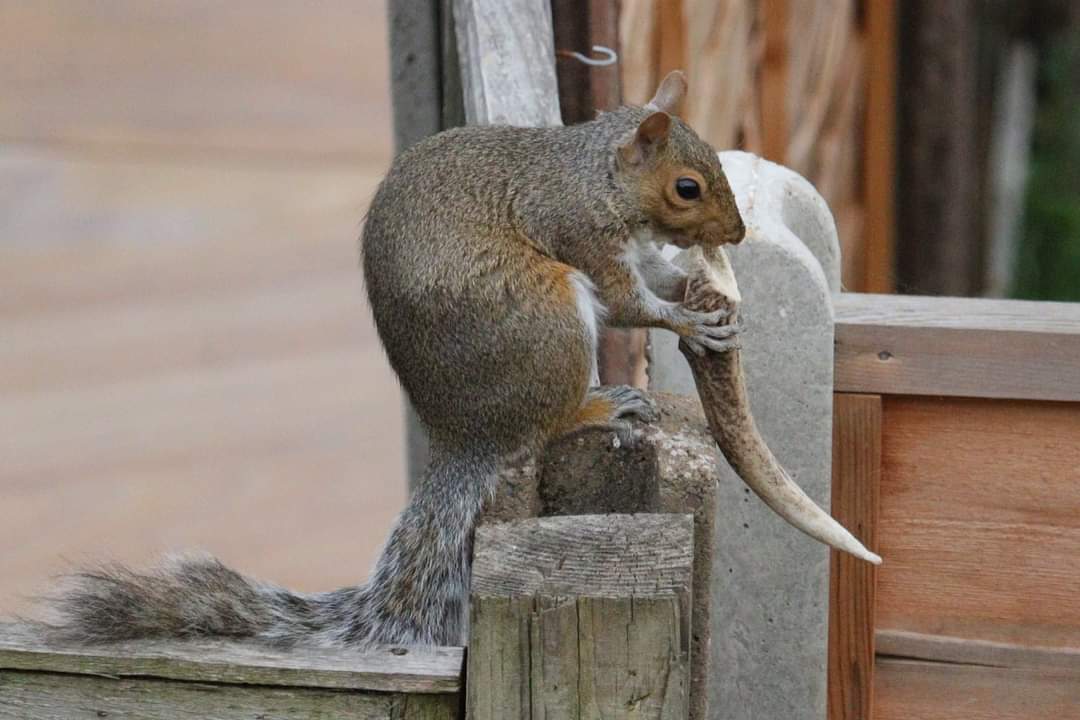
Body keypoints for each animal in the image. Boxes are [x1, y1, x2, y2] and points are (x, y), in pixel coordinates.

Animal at [40, 71, 745, 648]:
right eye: (687, 188)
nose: (737, 233)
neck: (595, 176)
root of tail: (468, 435)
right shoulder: (582, 232)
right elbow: (628, 302)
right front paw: (694, 321)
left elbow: (654, 274)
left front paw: (696, 286)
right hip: (547, 321)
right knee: (548, 421)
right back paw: (600, 405)